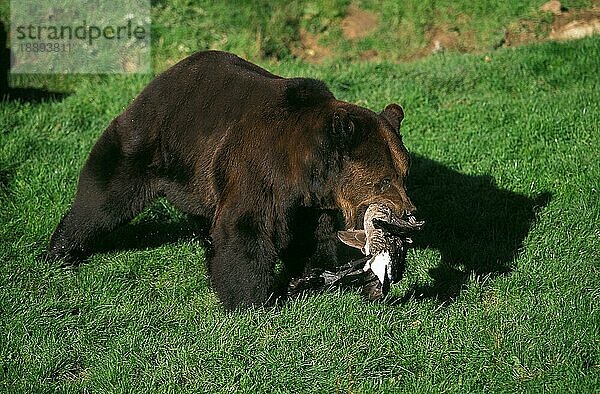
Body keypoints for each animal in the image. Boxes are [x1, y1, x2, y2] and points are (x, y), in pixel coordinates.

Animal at [45, 50, 418, 310]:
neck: (306, 172)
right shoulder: (259, 172)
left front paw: (310, 277)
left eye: (403, 174)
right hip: (150, 141)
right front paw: (251, 299)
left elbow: (312, 239)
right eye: (383, 181)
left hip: (196, 177)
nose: (409, 214)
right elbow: (245, 230)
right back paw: (61, 250)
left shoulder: (310, 204)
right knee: (104, 197)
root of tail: (166, 74)